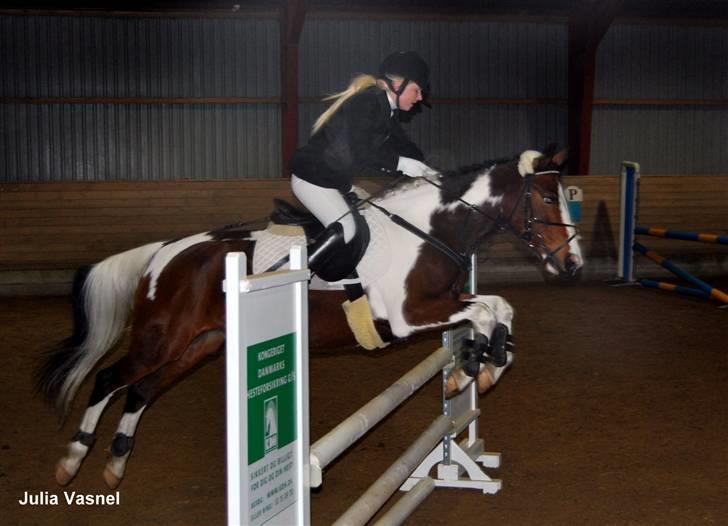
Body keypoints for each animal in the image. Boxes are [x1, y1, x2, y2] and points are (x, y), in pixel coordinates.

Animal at [34, 148, 584, 490]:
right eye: (548, 197)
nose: (575, 267)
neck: (430, 228)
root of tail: (166, 252)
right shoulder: (410, 317)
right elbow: (487, 311)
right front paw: (473, 370)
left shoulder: (444, 301)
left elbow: (498, 308)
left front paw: (474, 371)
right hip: (161, 338)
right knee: (110, 378)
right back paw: (72, 460)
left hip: (200, 343)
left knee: (142, 390)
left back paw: (115, 463)